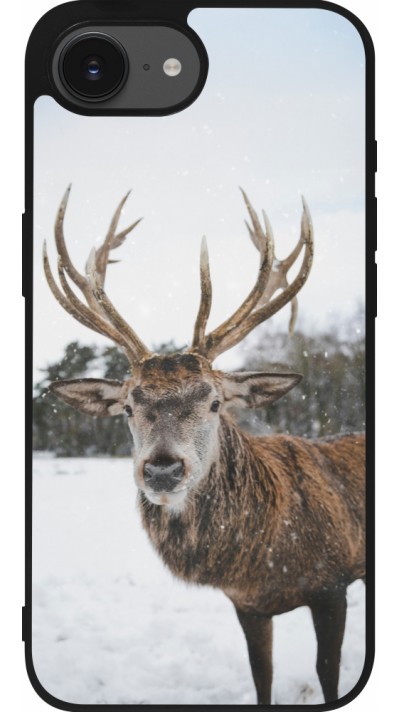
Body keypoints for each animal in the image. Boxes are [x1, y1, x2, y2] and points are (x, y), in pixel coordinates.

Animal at [43, 186, 365, 705]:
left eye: (215, 402)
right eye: (128, 406)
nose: (162, 470)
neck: (265, 559)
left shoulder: (333, 583)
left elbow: (328, 673)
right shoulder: (247, 604)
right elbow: (261, 675)